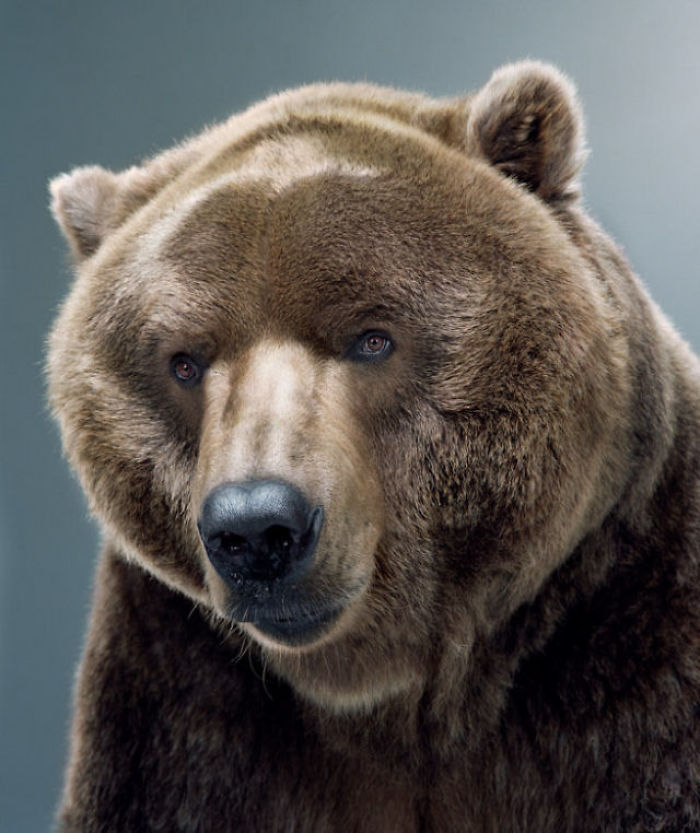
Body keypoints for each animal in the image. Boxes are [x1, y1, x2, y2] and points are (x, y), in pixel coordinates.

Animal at [48, 61, 700, 832]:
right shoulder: (182, 698)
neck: (389, 693)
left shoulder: (633, 638)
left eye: (372, 338)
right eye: (184, 360)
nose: (257, 530)